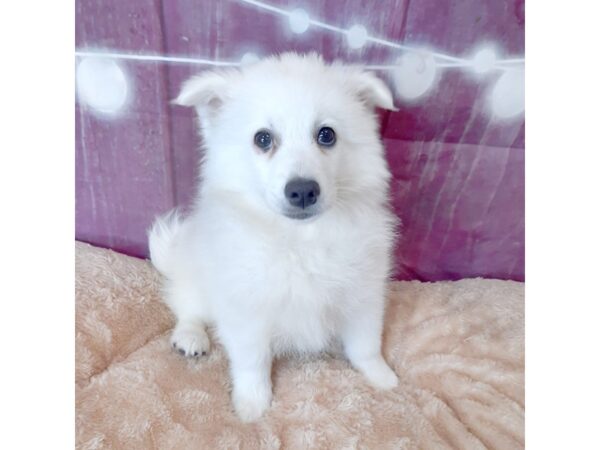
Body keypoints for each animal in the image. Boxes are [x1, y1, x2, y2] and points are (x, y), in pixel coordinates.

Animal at [147, 52, 398, 422]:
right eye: (262, 139)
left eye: (326, 135)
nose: (303, 190)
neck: (300, 238)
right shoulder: (246, 308)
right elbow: (252, 361)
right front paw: (252, 405)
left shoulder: (363, 294)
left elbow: (366, 344)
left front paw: (381, 377)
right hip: (196, 279)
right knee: (188, 307)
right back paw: (190, 338)